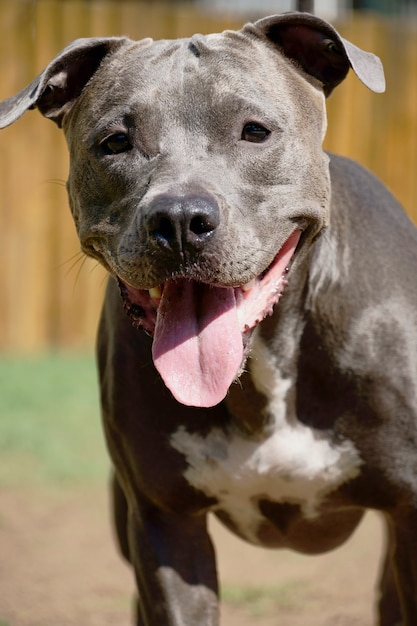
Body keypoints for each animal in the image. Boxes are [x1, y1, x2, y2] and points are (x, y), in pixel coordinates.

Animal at [1, 9, 414, 624]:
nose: (178, 219)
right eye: (116, 142)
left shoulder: (410, 514)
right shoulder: (164, 524)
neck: (263, 362)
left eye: (255, 131)